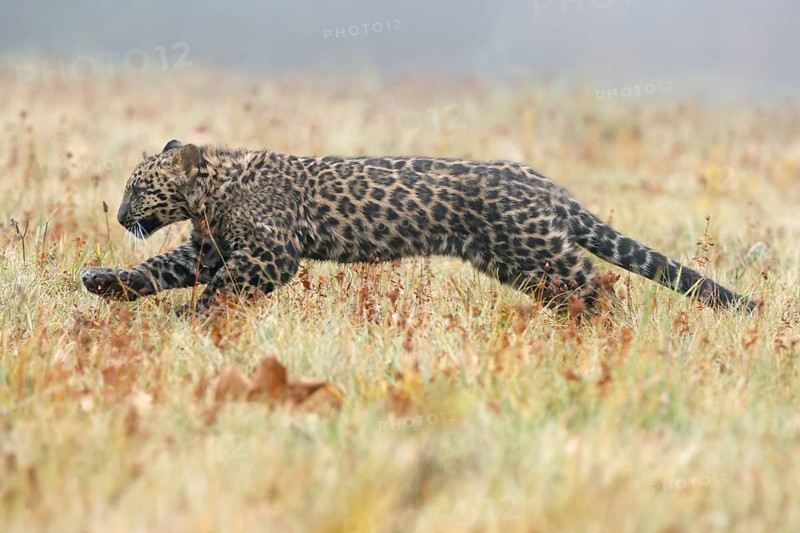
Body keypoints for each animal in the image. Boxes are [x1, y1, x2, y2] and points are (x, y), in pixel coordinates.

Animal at [80, 140, 756, 316]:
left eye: (138, 188)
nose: (118, 214)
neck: (213, 191)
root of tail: (548, 185)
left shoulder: (270, 254)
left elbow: (219, 290)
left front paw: (188, 318)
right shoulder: (210, 249)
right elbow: (154, 269)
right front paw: (102, 282)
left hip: (533, 249)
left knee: (598, 285)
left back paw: (608, 333)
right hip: (515, 261)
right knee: (576, 288)